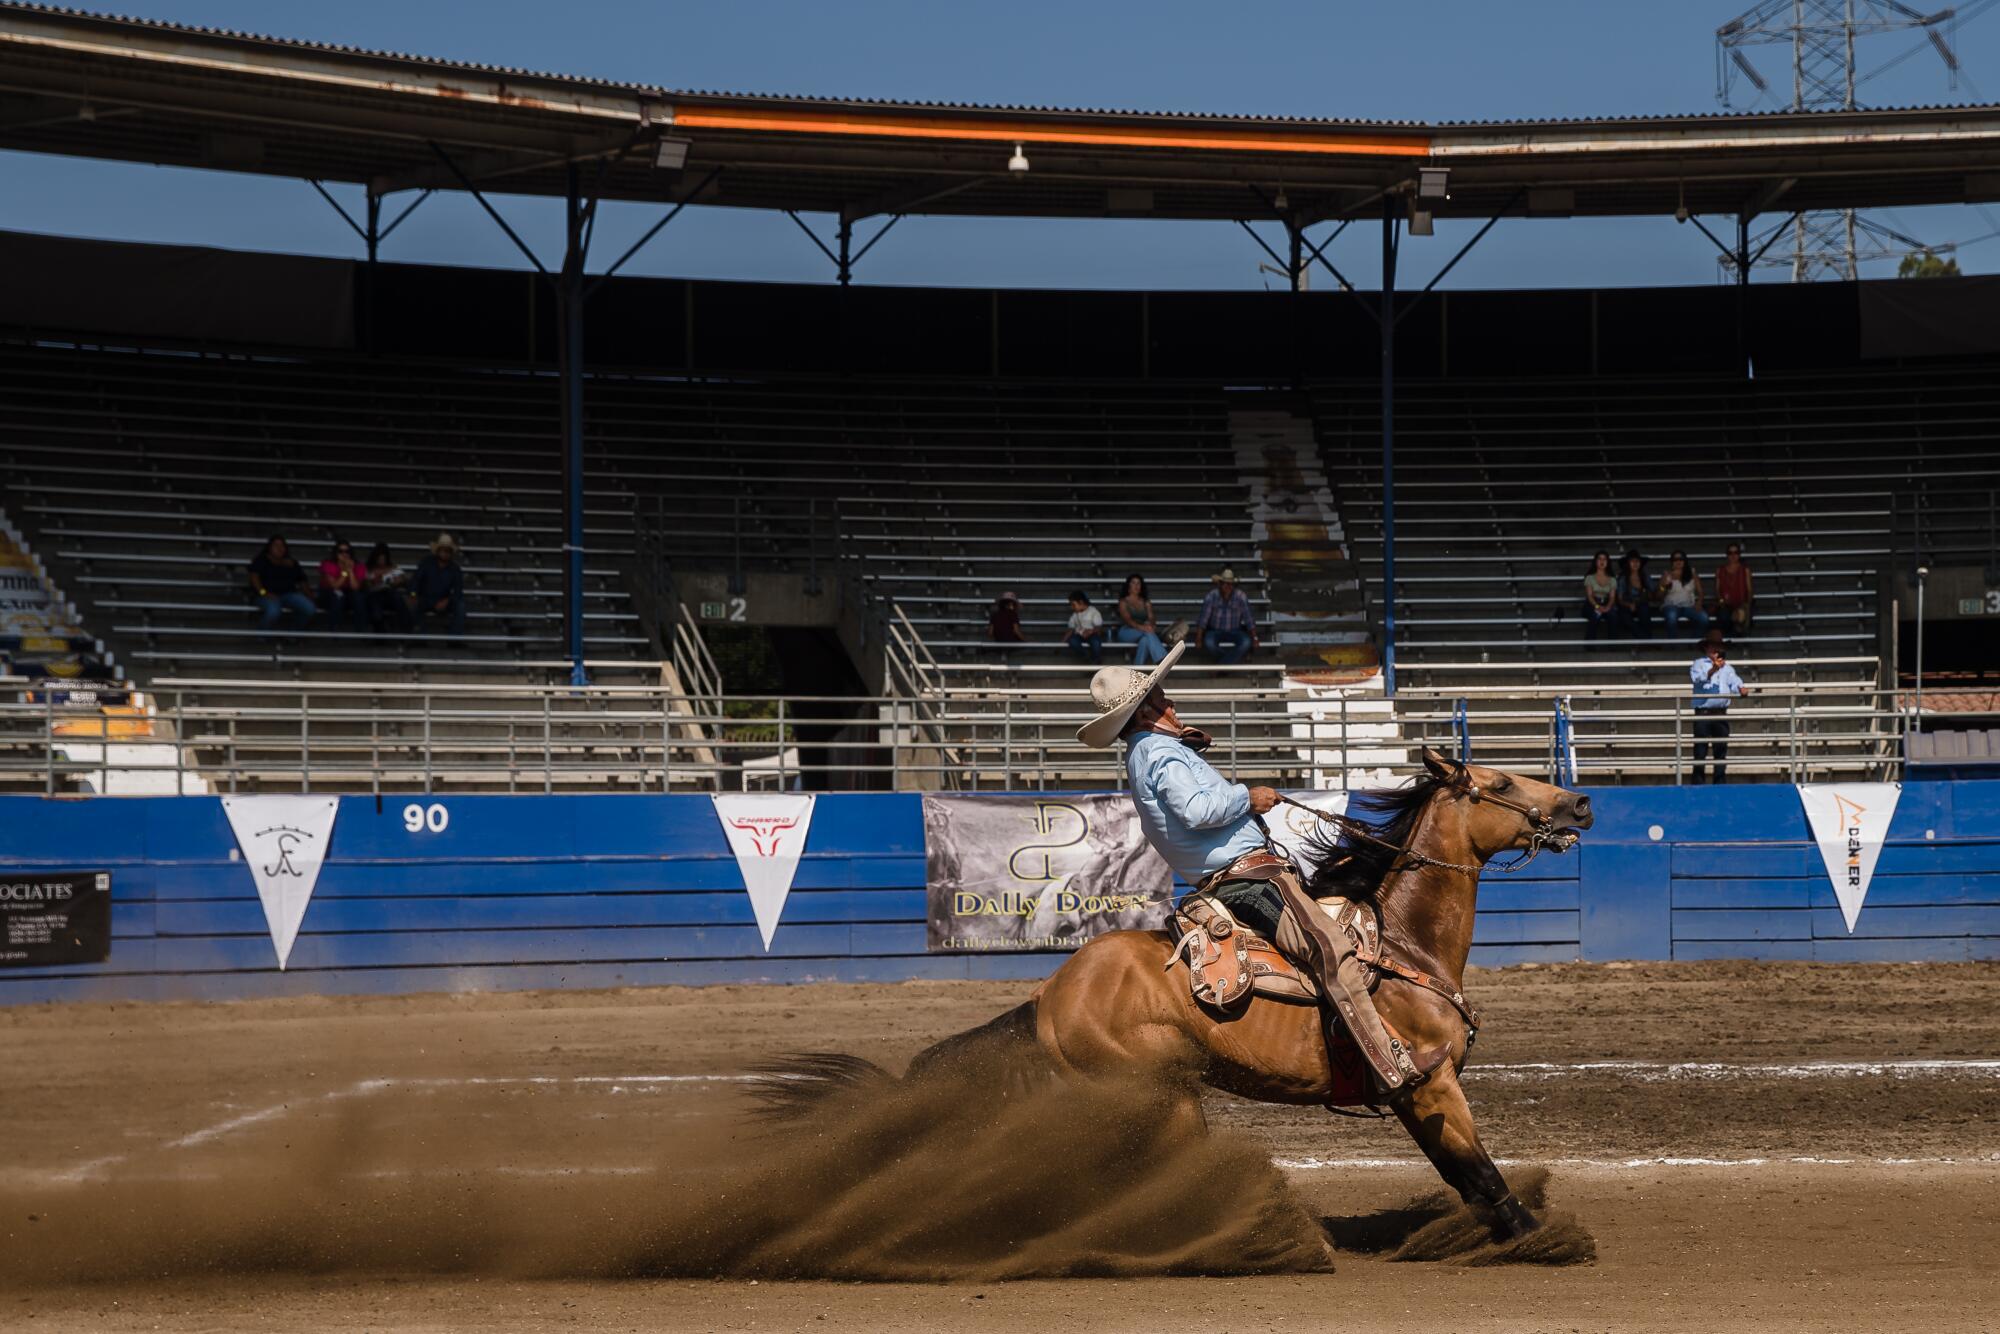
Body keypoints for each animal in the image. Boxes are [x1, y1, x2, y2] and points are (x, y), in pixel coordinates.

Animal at [756, 752, 1600, 1240]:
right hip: (1158, 1092)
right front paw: (1542, 1240)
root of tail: (1051, 994)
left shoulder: (1410, 1094)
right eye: (1498, 785)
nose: (1581, 805)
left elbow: (1461, 1174)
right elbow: (1479, 1168)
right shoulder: (1428, 1080)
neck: (1400, 947)